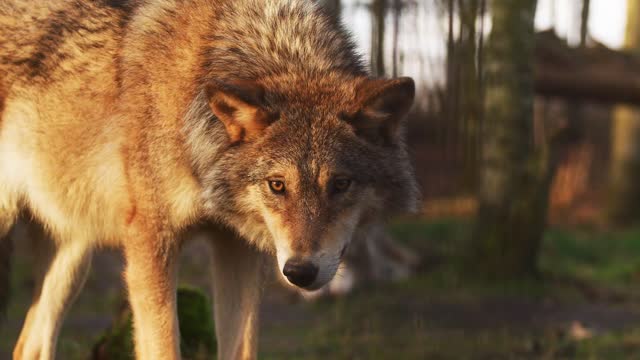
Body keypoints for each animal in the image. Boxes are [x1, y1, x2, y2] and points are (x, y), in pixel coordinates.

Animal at [0, 0, 418, 358]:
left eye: (341, 184)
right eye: (277, 185)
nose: (300, 272)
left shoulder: (239, 248)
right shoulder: (150, 241)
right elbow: (164, 347)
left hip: (73, 257)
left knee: (28, 346)